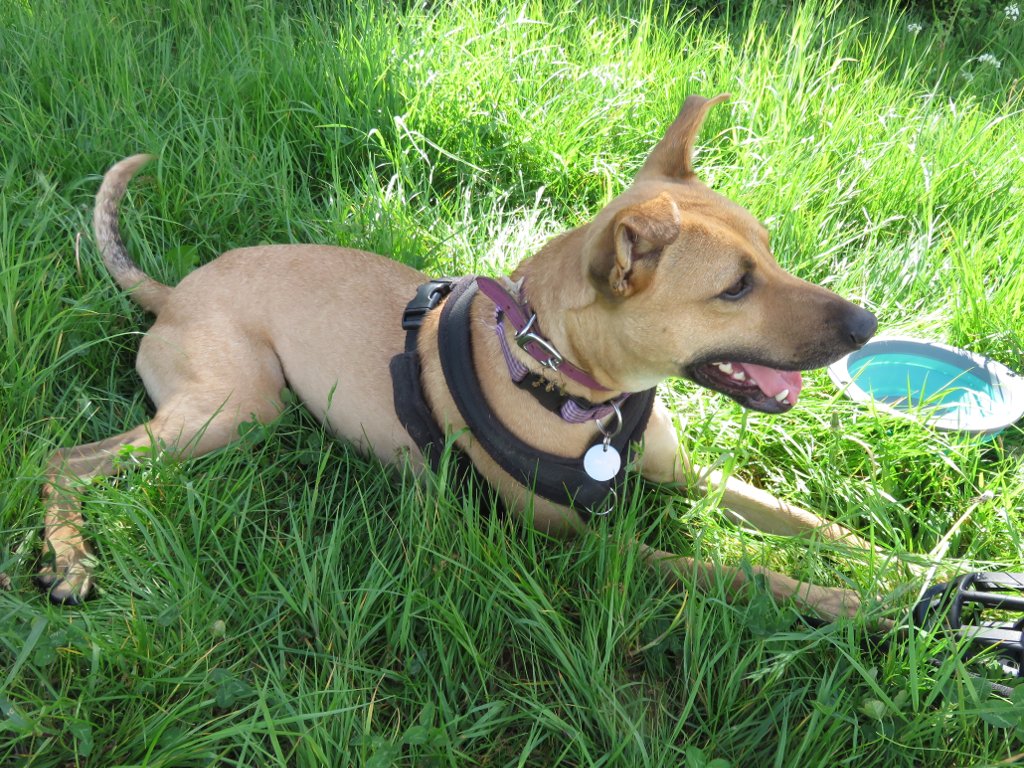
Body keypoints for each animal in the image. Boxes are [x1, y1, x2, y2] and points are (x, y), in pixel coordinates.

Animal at [37, 93, 880, 618]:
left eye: (769, 250)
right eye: (734, 288)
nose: (867, 323)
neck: (564, 379)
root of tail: (172, 292)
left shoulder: (684, 474)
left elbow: (811, 525)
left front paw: (896, 569)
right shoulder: (584, 544)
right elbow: (740, 570)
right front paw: (850, 604)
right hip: (235, 409)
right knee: (62, 460)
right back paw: (70, 557)